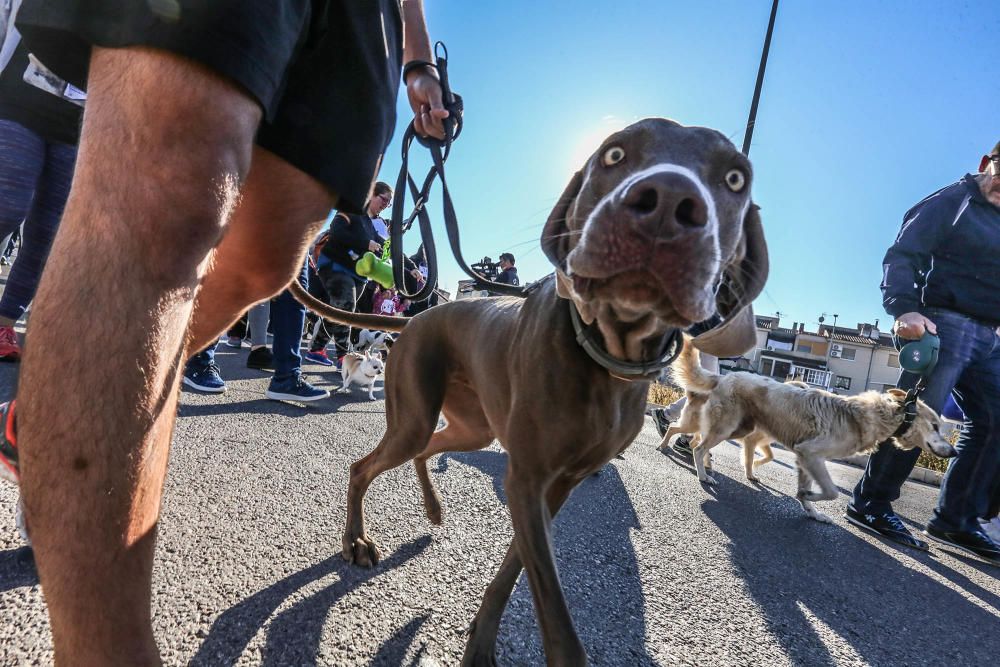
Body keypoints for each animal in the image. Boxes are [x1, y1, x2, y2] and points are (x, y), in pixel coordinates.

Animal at [290, 120, 764, 667]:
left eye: (735, 178)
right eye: (614, 153)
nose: (667, 202)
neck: (606, 360)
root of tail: (413, 318)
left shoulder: (553, 487)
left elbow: (517, 569)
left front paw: (480, 638)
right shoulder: (528, 479)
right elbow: (556, 617)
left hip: (471, 426)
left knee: (428, 450)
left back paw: (432, 509)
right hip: (414, 416)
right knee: (363, 467)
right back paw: (356, 540)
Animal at [668, 340, 956, 520]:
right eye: (935, 426)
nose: (953, 451)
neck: (871, 415)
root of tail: (725, 375)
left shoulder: (804, 459)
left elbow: (808, 490)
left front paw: (811, 510)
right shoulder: (811, 454)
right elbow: (831, 491)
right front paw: (809, 497)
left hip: (739, 429)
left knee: (705, 444)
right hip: (726, 427)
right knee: (699, 447)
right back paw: (704, 476)